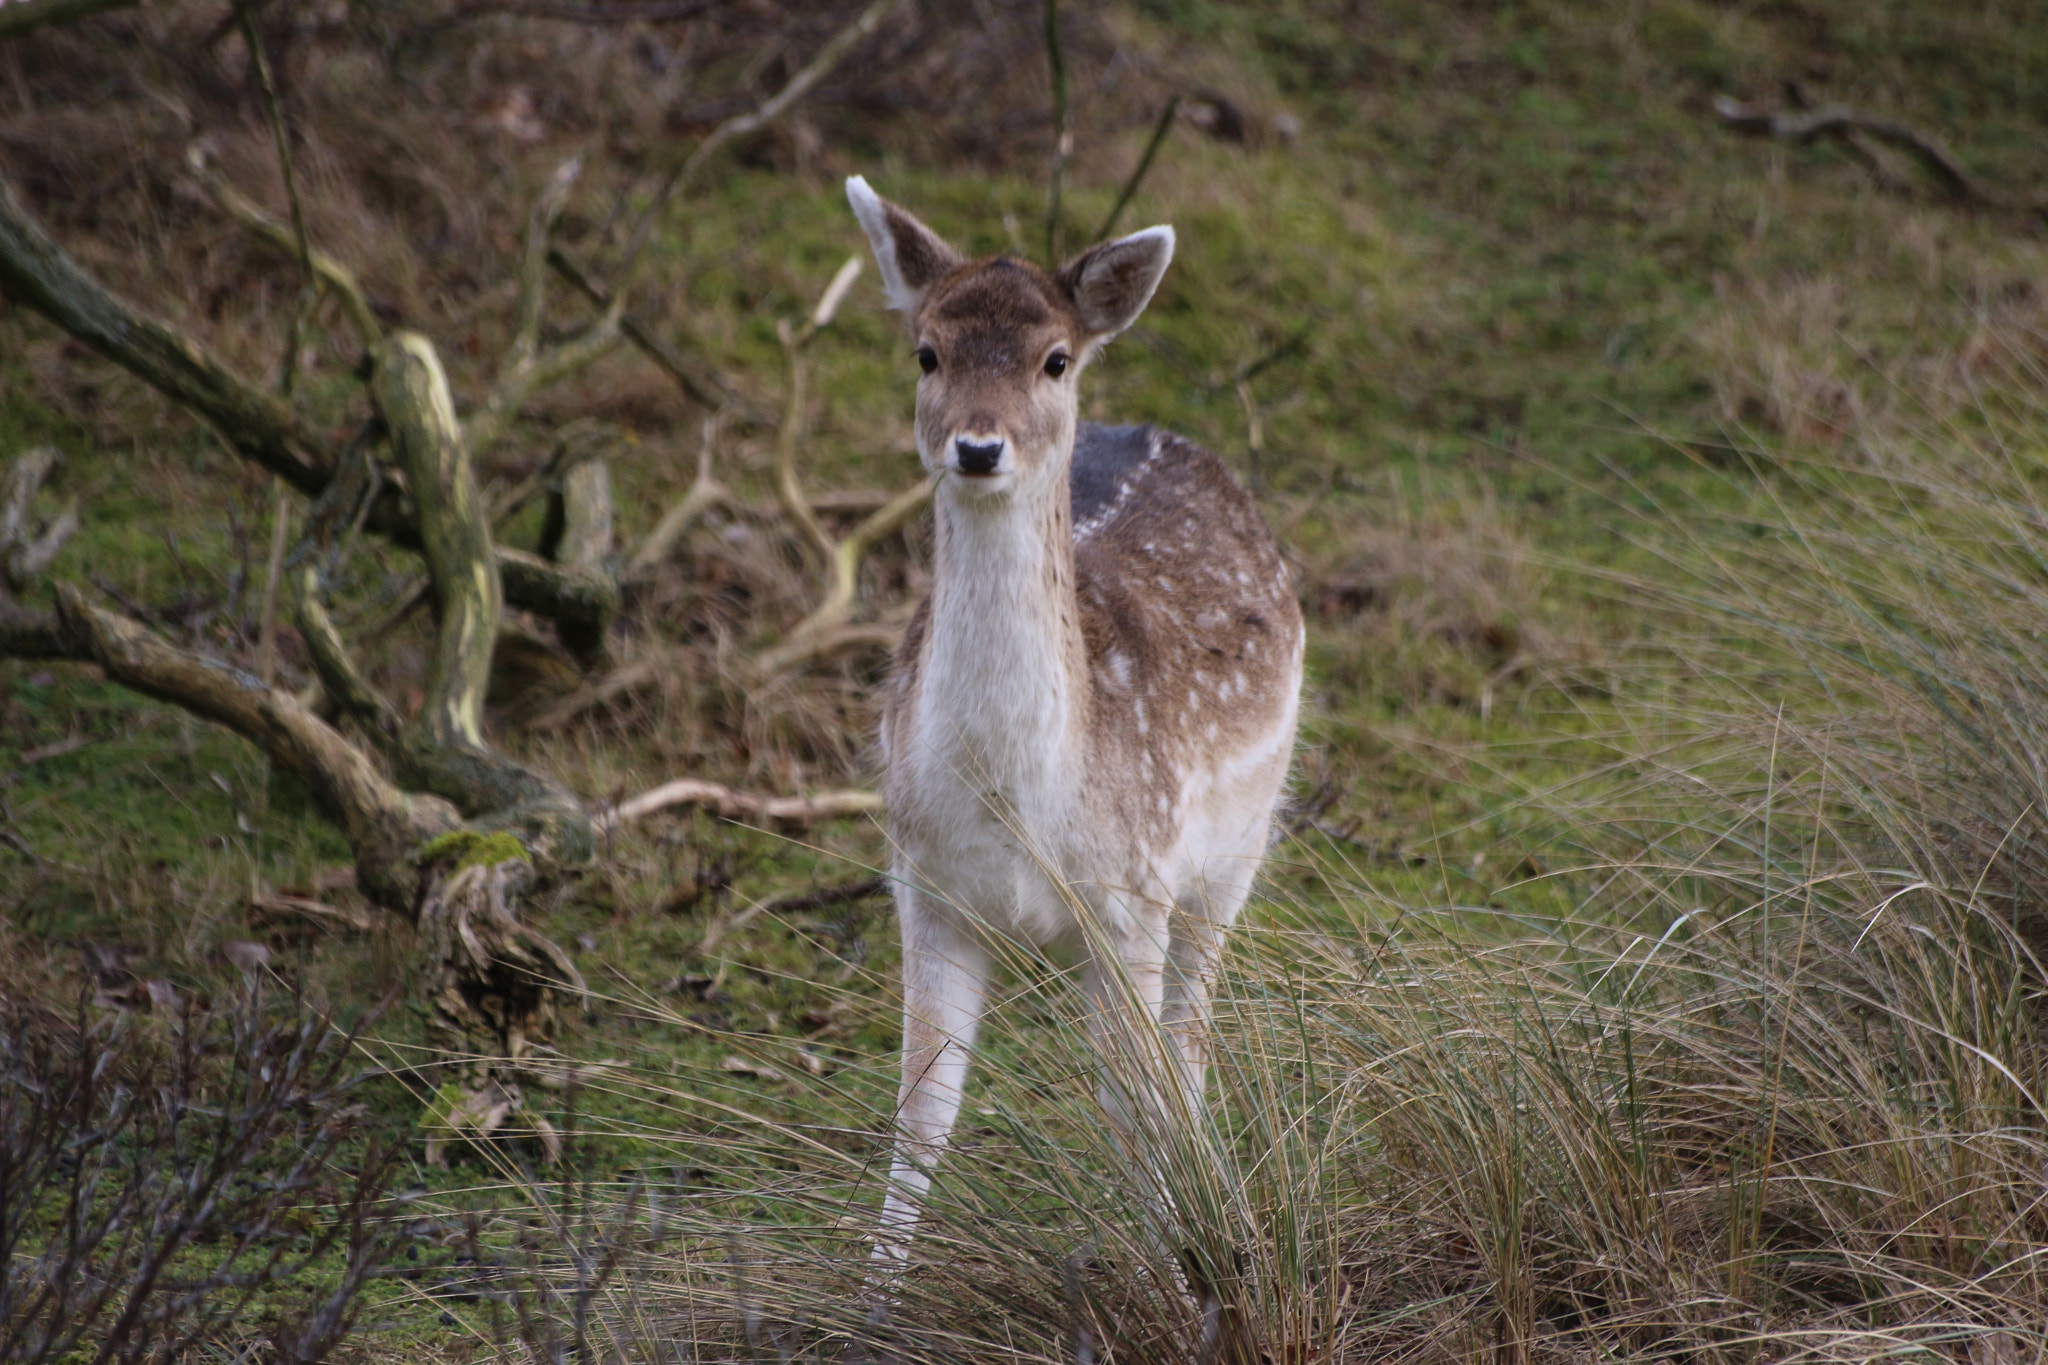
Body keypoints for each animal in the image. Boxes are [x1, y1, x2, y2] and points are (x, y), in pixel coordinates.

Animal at [844, 177, 1304, 1269]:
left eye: (1054, 358)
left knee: (1188, 1041)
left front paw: (1173, 1276)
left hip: (1236, 852)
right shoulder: (923, 886)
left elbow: (1130, 1106)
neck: (1021, 806)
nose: (978, 445)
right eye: (926, 351)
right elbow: (920, 1116)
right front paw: (872, 1293)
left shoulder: (1131, 889)